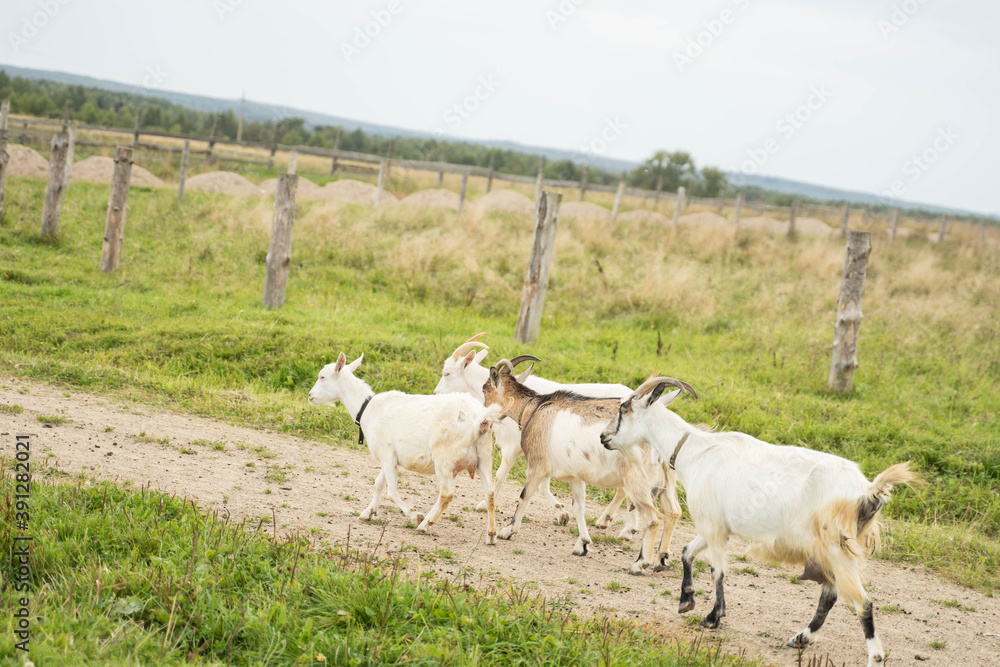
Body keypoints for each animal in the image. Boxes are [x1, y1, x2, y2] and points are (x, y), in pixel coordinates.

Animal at [308, 352, 503, 543]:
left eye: (322, 376)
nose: (310, 396)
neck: (368, 409)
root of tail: (480, 418)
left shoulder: (387, 455)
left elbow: (391, 492)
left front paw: (414, 515)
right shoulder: (389, 456)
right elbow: (379, 483)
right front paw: (367, 512)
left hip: (444, 458)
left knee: (447, 494)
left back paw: (425, 523)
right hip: (484, 456)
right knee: (490, 492)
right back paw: (491, 534)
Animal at [433, 333, 643, 537]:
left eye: (447, 373)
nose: (435, 394)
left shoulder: (515, 448)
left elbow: (501, 476)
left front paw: (485, 505)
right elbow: (542, 485)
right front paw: (561, 513)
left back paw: (627, 528)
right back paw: (605, 520)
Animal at [482, 358, 675, 575]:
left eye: (484, 389)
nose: (485, 417)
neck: (534, 410)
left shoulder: (537, 465)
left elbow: (524, 496)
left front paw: (507, 531)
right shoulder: (576, 476)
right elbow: (579, 506)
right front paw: (582, 544)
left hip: (638, 481)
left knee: (652, 520)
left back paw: (639, 564)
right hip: (666, 483)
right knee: (673, 514)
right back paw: (660, 560)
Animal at [600, 377, 922, 667]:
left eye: (625, 407)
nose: (604, 437)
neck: (696, 451)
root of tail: (868, 490)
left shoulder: (713, 527)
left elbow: (717, 571)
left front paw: (713, 617)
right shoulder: (716, 526)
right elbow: (687, 552)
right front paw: (686, 601)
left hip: (836, 548)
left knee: (863, 604)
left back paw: (873, 657)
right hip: (830, 551)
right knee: (829, 597)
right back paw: (801, 638)